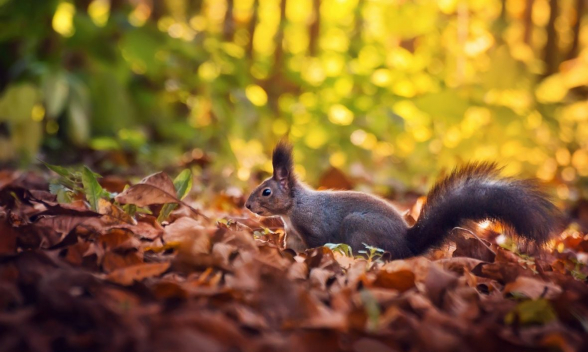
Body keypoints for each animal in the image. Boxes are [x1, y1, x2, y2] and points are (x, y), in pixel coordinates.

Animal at [243, 140, 560, 258]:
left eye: (266, 191)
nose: (247, 205)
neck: (293, 210)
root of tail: (407, 244)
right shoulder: (293, 234)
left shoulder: (314, 226)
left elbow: (318, 242)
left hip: (360, 229)